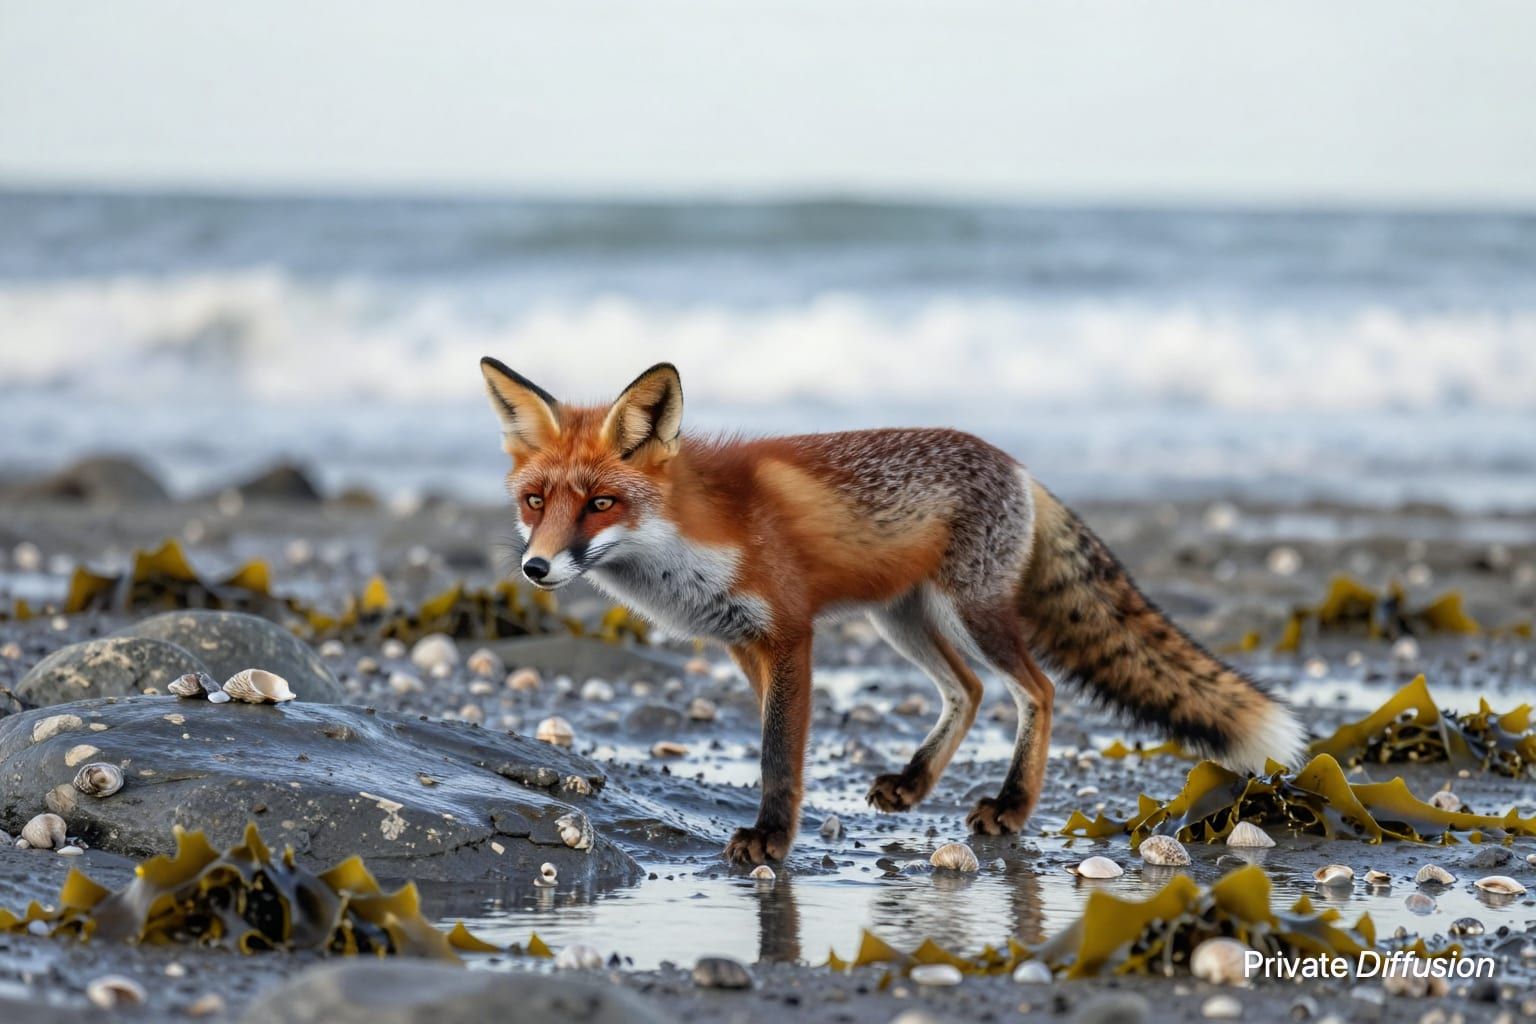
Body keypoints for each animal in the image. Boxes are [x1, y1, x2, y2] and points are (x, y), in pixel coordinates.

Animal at [479, 357, 1305, 866]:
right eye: (536, 501)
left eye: (600, 503)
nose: (536, 567)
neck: (690, 542)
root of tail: (1017, 466)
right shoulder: (746, 644)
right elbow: (779, 747)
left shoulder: (790, 633)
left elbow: (779, 755)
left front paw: (771, 839)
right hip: (902, 619)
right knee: (968, 690)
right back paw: (915, 782)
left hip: (971, 613)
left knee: (1034, 689)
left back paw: (1013, 805)